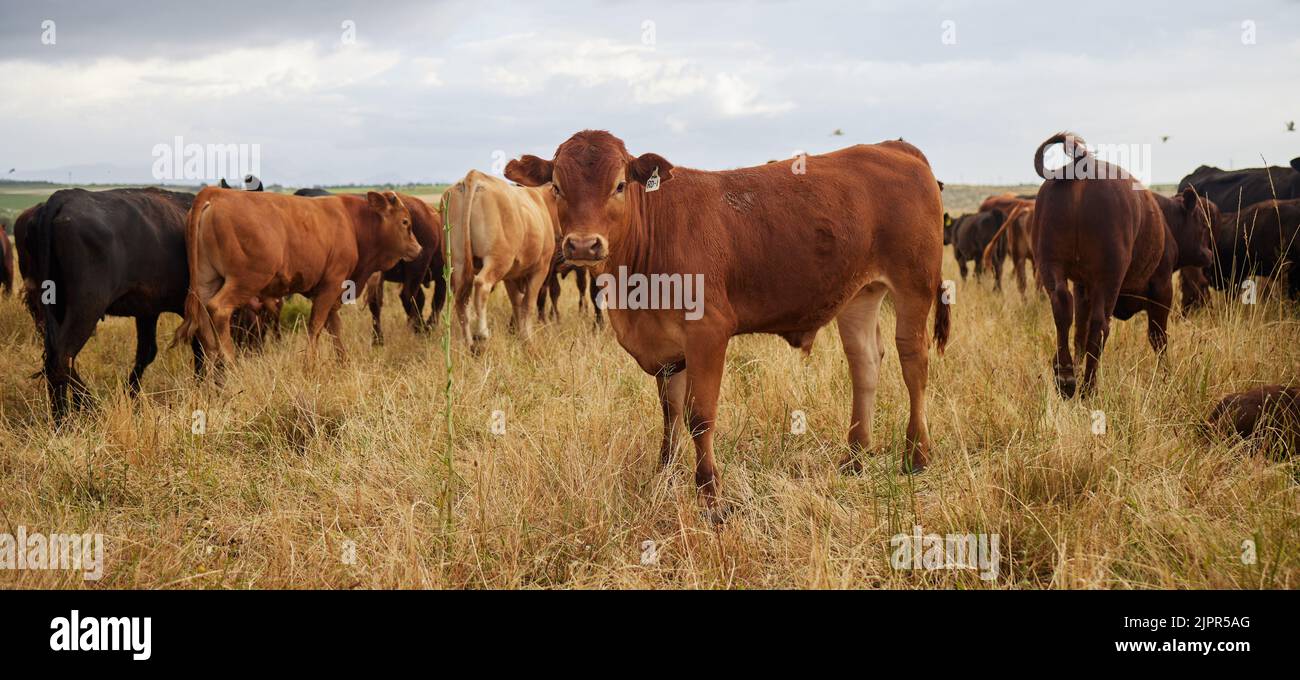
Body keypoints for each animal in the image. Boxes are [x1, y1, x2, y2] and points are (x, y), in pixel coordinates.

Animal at [20, 185, 204, 421]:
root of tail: (62, 196)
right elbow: (201, 348)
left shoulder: (147, 311)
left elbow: (147, 352)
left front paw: (130, 396)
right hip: (86, 307)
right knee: (61, 360)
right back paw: (79, 415)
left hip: (54, 307)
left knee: (56, 359)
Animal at [174, 187, 421, 371]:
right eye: (405, 222)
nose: (418, 248)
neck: (353, 223)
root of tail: (216, 193)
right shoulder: (331, 286)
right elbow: (316, 326)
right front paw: (309, 366)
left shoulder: (331, 292)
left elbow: (334, 327)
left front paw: (343, 362)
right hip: (245, 281)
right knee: (218, 309)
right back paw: (230, 364)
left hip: (207, 282)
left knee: (203, 321)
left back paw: (212, 370)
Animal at [447, 170, 559, 351]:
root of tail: (475, 175)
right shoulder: (541, 268)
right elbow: (528, 304)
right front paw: (528, 340)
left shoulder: (511, 275)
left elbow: (517, 304)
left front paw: (521, 336)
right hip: (497, 259)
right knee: (482, 284)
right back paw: (481, 334)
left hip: (458, 261)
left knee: (460, 300)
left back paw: (469, 343)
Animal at [1029, 133, 1175, 400]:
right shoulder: (1162, 287)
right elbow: (1158, 338)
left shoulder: (1082, 286)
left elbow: (1079, 331)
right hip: (1109, 278)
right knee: (1100, 327)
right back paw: (1088, 387)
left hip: (1050, 264)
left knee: (1063, 308)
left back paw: (1065, 375)